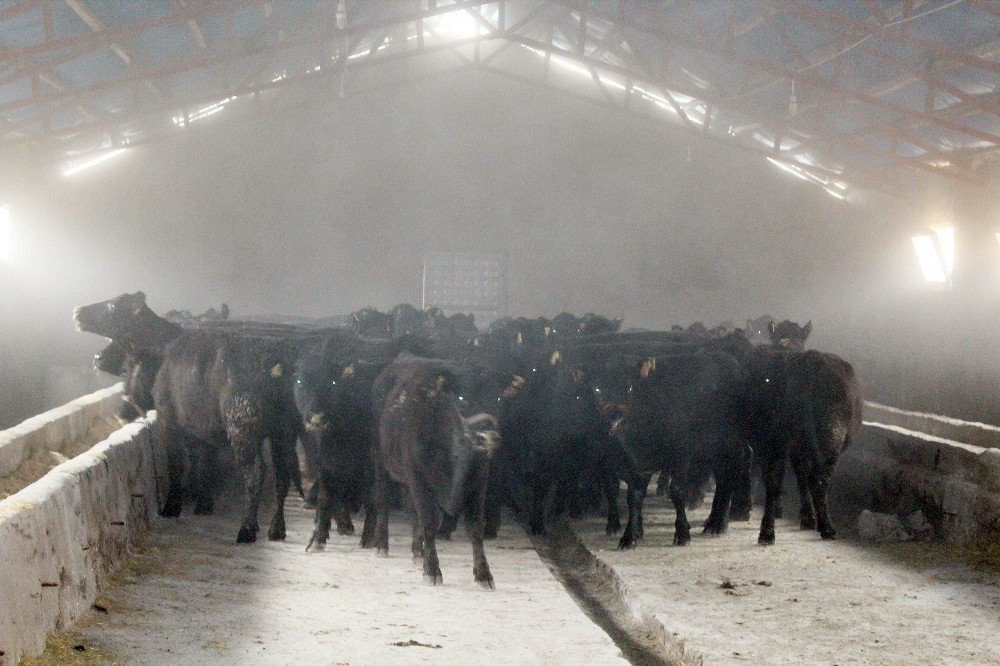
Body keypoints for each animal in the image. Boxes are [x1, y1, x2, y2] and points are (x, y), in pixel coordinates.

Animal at [372, 356, 500, 584]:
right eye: (462, 399)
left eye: (494, 400)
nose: (490, 437)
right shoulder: (418, 477)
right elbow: (430, 521)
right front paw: (432, 570)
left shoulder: (479, 482)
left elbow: (475, 527)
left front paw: (484, 574)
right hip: (381, 460)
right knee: (384, 499)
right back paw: (381, 544)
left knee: (411, 509)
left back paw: (417, 551)